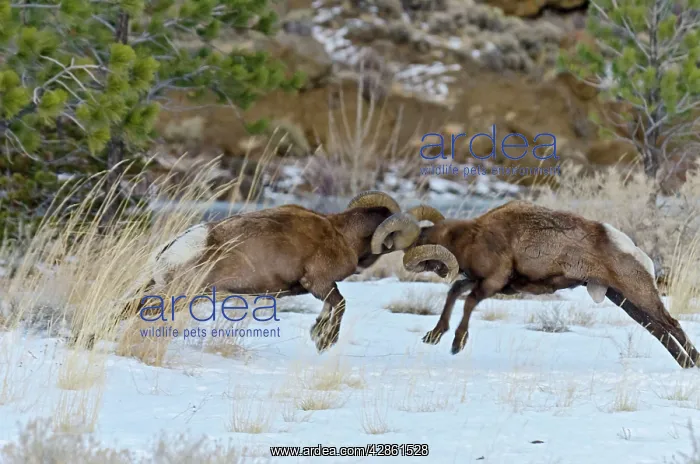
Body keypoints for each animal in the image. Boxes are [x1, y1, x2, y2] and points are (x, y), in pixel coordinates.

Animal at [80, 191, 428, 352]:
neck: (341, 234)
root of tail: (178, 246)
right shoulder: (318, 282)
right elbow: (340, 305)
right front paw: (323, 341)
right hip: (176, 295)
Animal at [369, 200, 700, 368]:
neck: (472, 238)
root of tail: (633, 250)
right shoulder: (477, 280)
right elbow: (454, 294)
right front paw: (434, 336)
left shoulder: (492, 283)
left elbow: (469, 302)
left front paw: (456, 344)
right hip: (624, 300)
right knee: (658, 330)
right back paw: (686, 365)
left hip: (637, 293)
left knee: (671, 325)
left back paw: (692, 364)